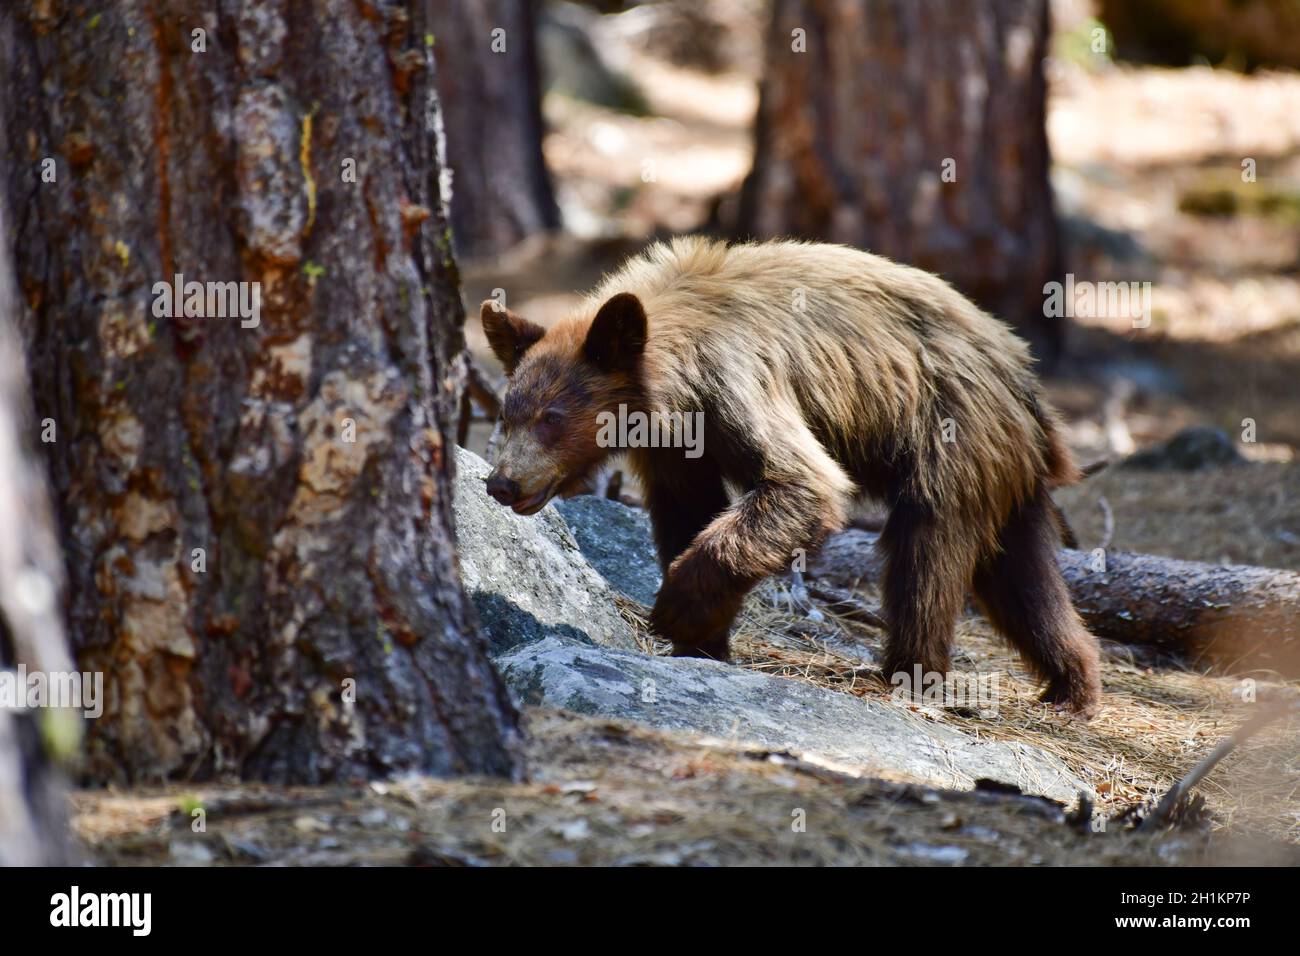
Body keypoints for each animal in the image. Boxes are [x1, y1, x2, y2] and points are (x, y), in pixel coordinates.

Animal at [475, 239, 1097, 717]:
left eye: (552, 418)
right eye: (508, 412)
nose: (502, 483)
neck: (673, 379)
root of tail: (1024, 375)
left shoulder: (735, 382)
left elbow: (803, 485)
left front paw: (677, 608)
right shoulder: (675, 442)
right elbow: (686, 506)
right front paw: (703, 642)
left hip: (950, 431)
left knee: (928, 550)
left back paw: (909, 671)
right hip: (1003, 466)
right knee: (1021, 575)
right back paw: (1071, 686)